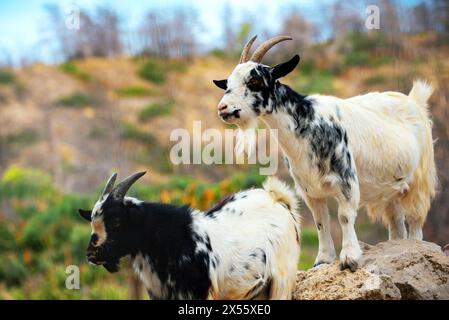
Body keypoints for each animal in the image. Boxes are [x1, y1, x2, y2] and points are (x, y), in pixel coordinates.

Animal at [212, 34, 436, 270]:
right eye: (227, 83)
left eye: (254, 80)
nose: (223, 108)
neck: (309, 123)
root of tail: (415, 100)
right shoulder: (311, 190)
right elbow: (321, 221)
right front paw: (323, 259)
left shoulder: (346, 181)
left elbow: (344, 216)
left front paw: (349, 258)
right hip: (390, 190)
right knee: (396, 223)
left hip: (420, 180)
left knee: (415, 220)